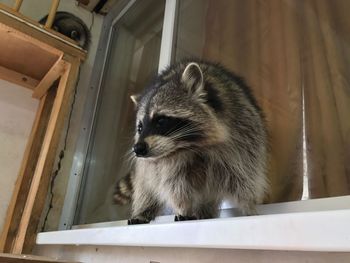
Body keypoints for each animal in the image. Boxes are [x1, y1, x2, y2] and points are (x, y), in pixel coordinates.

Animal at [114, 58, 268, 224]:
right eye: (140, 127)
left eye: (161, 120)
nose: (137, 149)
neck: (191, 146)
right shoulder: (167, 165)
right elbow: (174, 186)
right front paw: (183, 208)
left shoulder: (243, 137)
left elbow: (243, 178)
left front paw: (248, 206)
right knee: (146, 185)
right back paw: (144, 210)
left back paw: (204, 211)